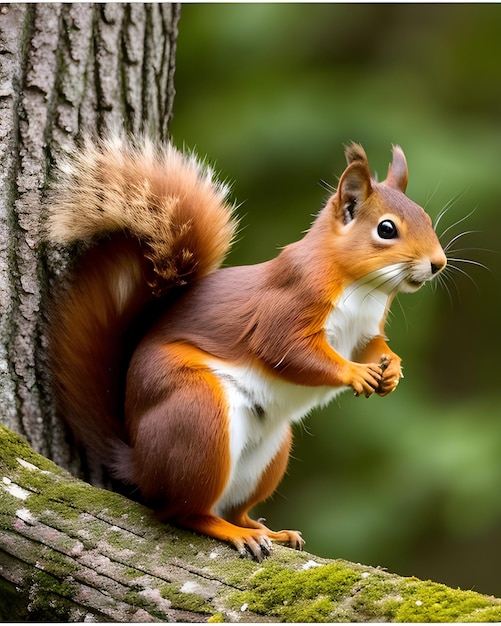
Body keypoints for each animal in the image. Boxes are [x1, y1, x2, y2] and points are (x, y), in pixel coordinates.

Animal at [46, 134, 446, 560]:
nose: (438, 263)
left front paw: (392, 370)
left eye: (426, 218)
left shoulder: (366, 332)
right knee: (182, 513)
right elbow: (290, 353)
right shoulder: (286, 308)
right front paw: (355, 374)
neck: (363, 288)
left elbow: (375, 348)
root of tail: (141, 464)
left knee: (234, 507)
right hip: (198, 418)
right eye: (386, 229)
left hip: (270, 452)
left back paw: (269, 532)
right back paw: (230, 532)